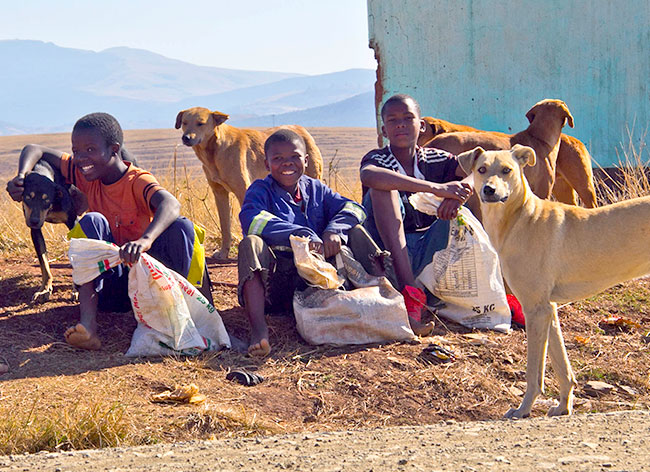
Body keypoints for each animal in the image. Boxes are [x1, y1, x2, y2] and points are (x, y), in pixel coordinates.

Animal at [22, 160, 86, 302]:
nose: (34, 221)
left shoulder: (73, 223)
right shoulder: (35, 231)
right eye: (28, 197)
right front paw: (45, 289)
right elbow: (44, 264)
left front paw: (77, 289)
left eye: (46, 199)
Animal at [175, 107, 322, 260]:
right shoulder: (220, 194)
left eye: (200, 123)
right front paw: (224, 252)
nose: (186, 138)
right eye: (185, 123)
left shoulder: (243, 191)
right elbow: (225, 227)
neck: (215, 150)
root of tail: (301, 129)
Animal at [454, 144, 648, 416]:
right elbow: (562, 367)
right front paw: (563, 407)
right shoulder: (549, 309)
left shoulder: (535, 309)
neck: (520, 219)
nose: (489, 190)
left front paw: (523, 410)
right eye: (481, 169)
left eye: (507, 170)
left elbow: (534, 373)